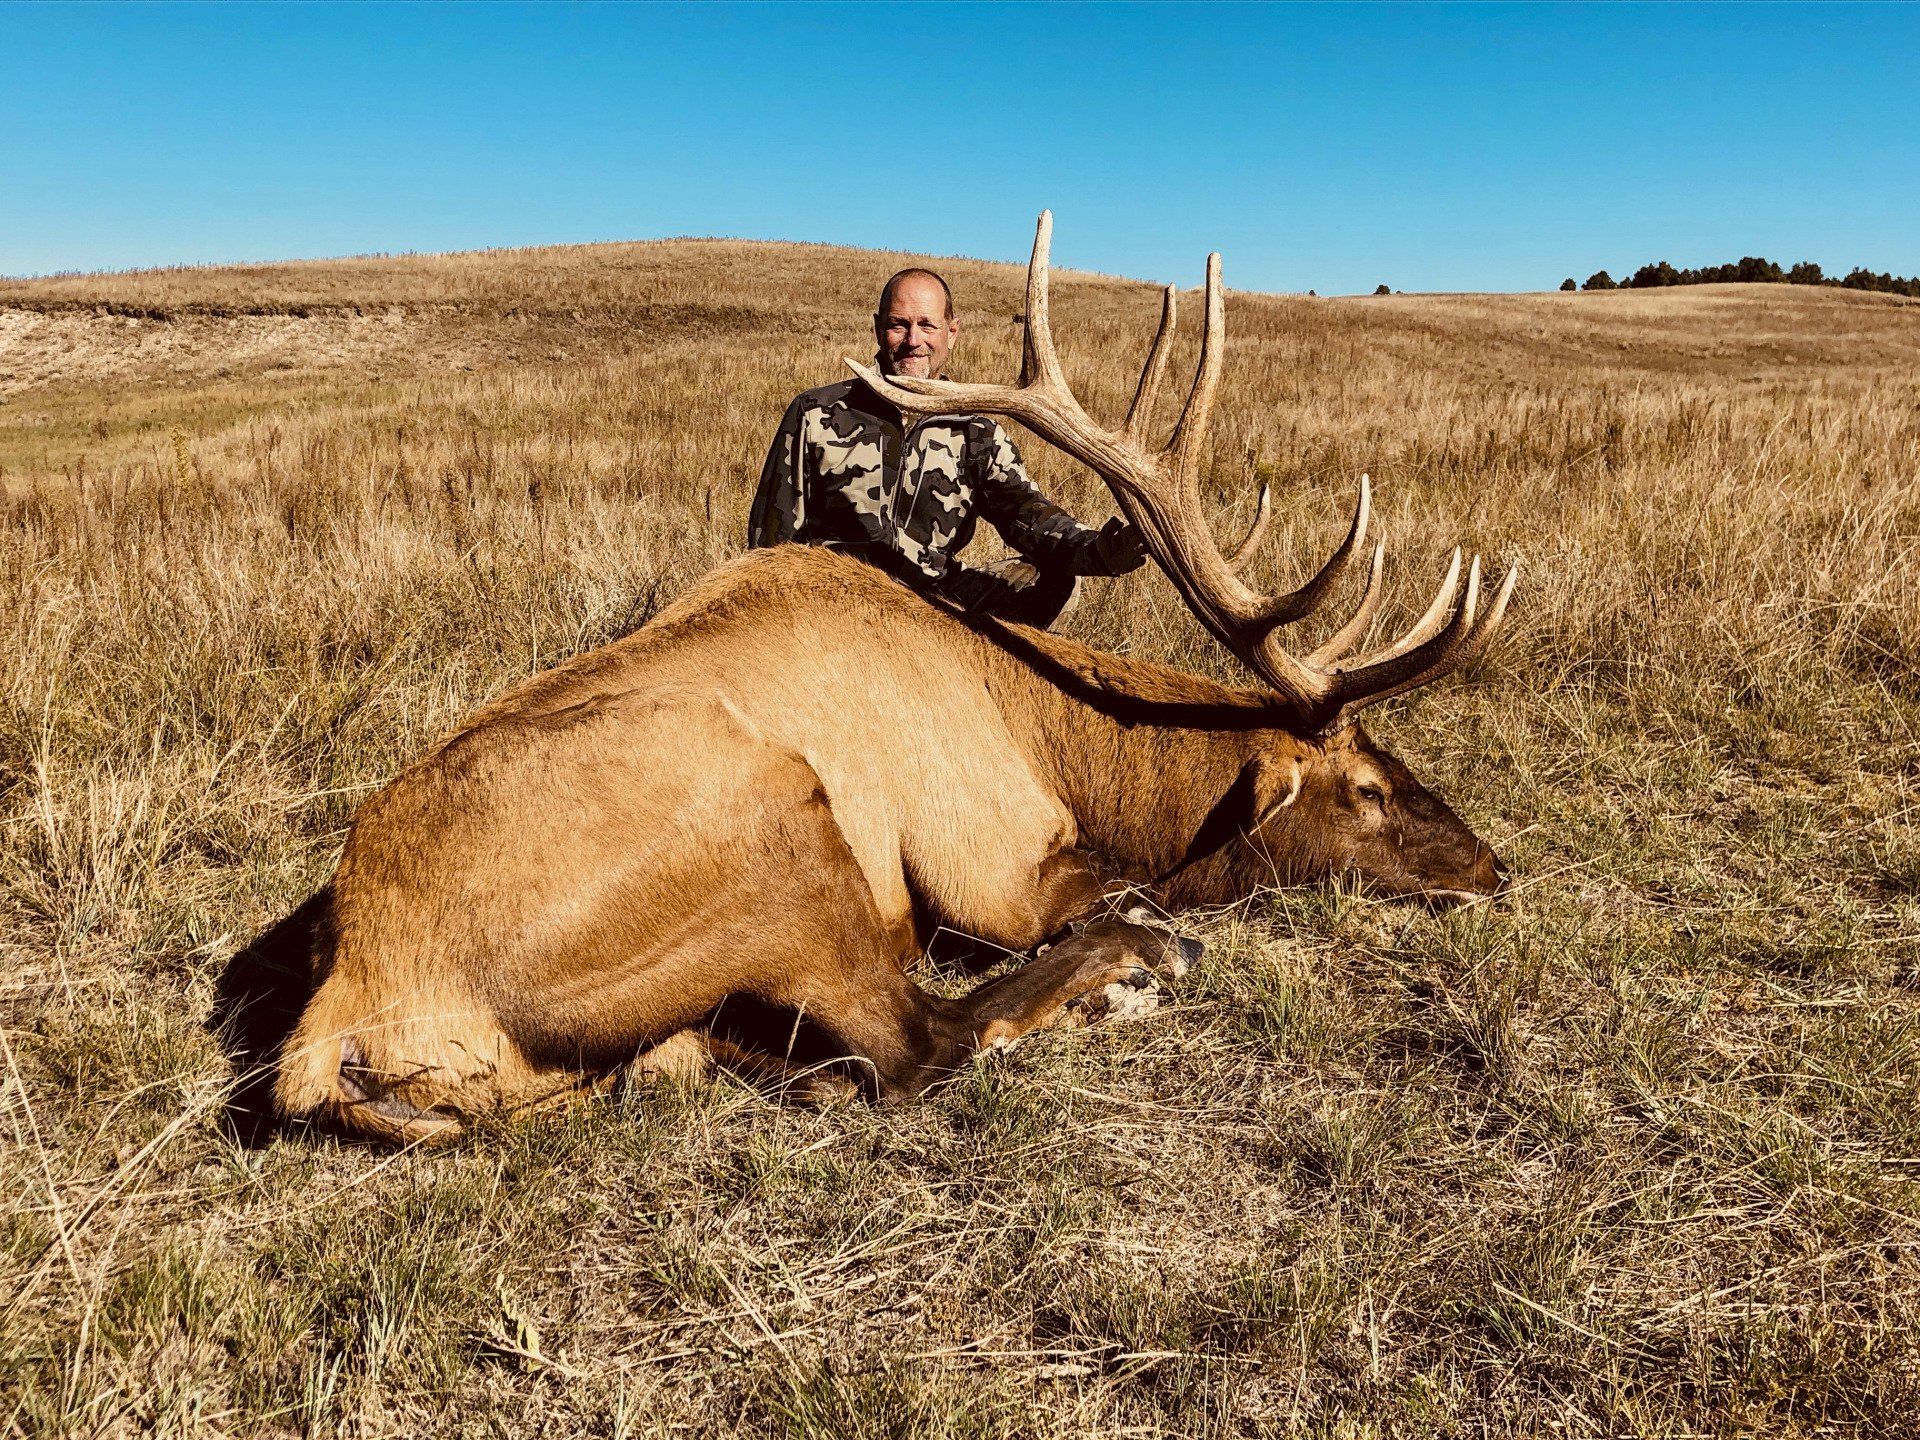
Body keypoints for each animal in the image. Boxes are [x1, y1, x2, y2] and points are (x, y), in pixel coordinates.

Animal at [268, 214, 1516, 1145]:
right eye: (1364, 788)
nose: (1492, 870)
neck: (1068, 742)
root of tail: (342, 1020)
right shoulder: (993, 864)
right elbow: (1110, 901)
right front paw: (1143, 942)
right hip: (774, 816)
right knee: (916, 1046)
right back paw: (1129, 970)